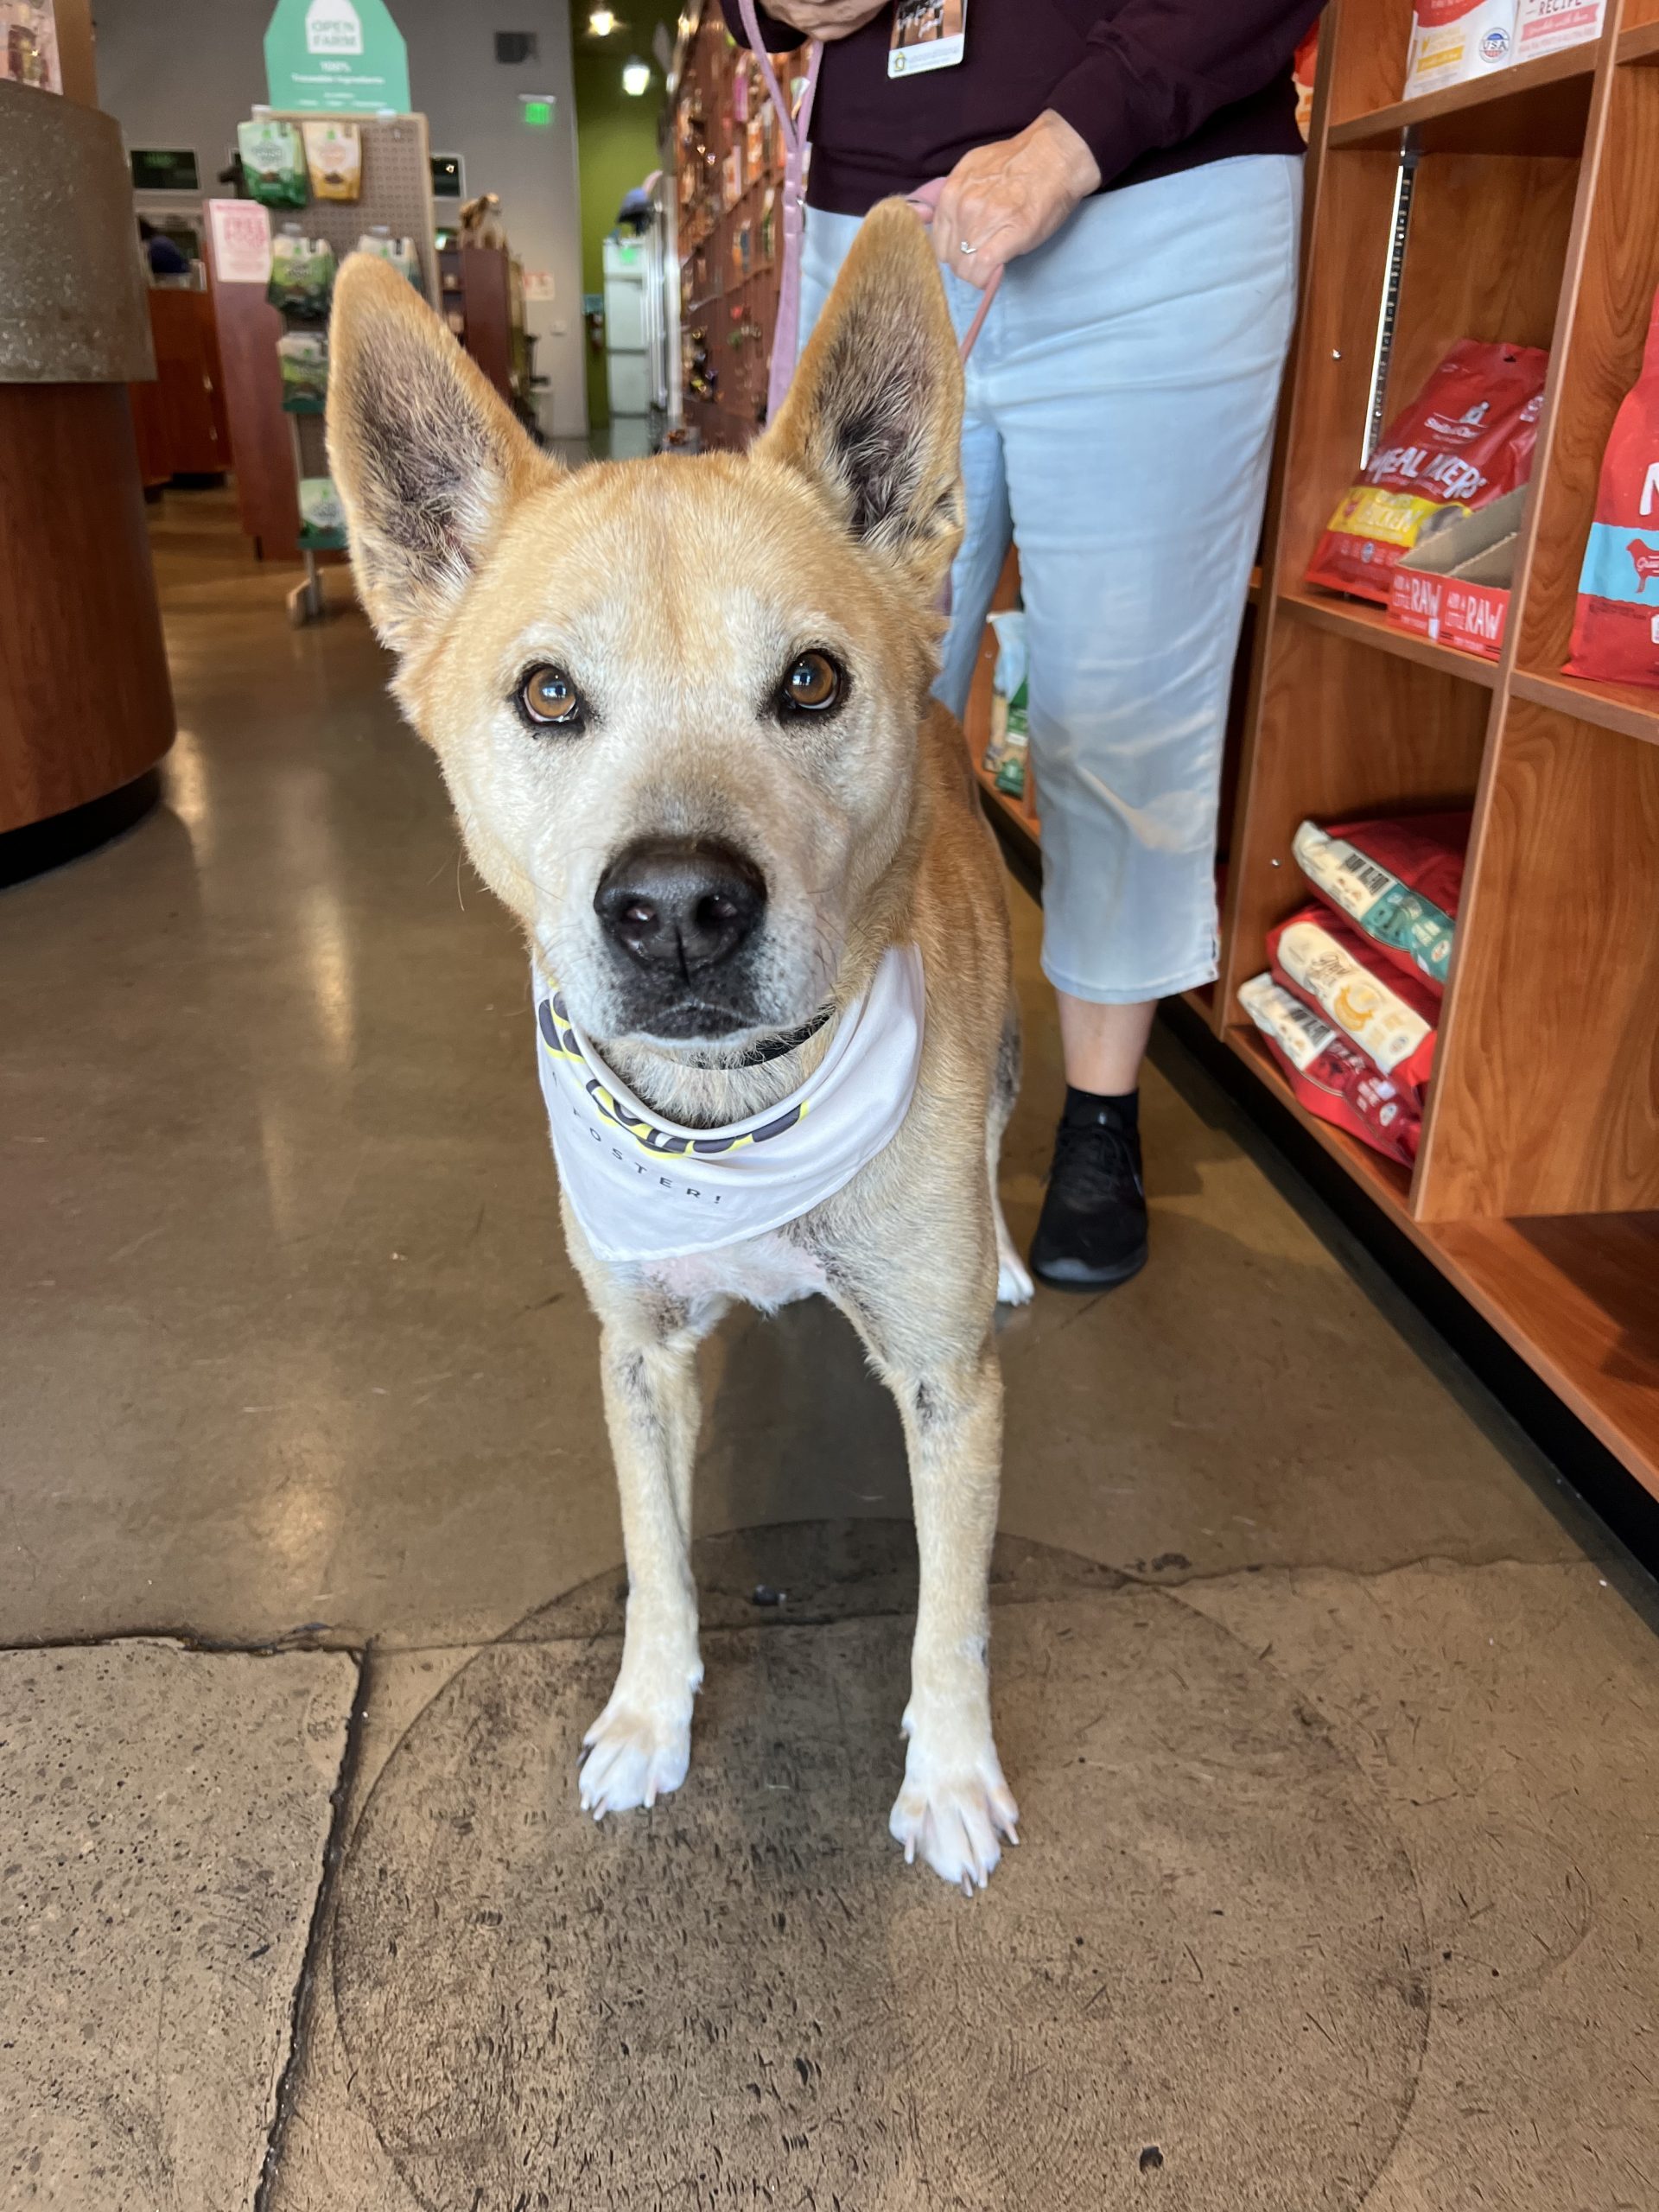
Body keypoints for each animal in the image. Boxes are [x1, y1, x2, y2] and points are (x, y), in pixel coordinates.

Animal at [329, 207, 1035, 1893]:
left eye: (812, 680)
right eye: (544, 695)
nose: (675, 911)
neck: (736, 1117)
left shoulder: (948, 1388)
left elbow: (952, 1616)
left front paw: (952, 1776)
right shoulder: (636, 1355)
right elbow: (656, 1558)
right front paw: (651, 1718)